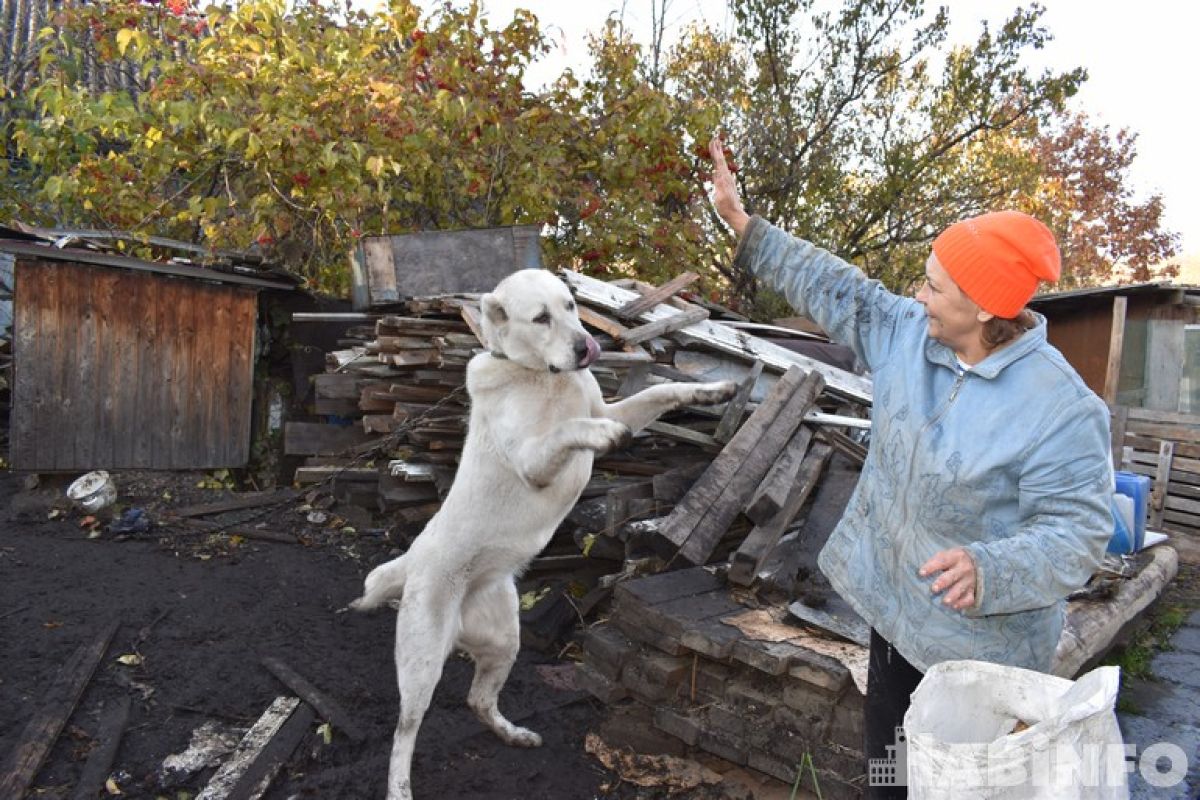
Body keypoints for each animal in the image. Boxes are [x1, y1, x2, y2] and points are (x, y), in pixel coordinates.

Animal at [350, 271, 734, 800]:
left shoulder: (614, 406)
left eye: (571, 305)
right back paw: (401, 787)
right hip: (422, 661)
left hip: (504, 641)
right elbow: (570, 429)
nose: (589, 347)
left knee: (477, 699)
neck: (544, 376)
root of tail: (413, 562)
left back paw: (513, 734)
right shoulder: (535, 460)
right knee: (403, 732)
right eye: (540, 318)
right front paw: (599, 436)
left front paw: (711, 391)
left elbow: (660, 394)